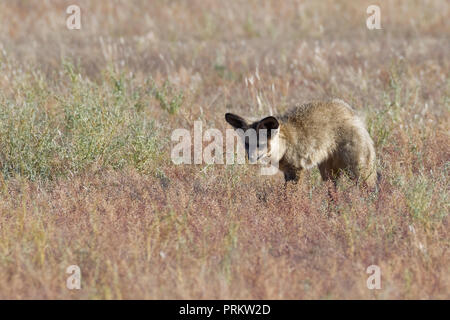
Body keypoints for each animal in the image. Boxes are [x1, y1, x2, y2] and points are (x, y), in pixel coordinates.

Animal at [227, 99, 378, 189]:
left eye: (261, 144)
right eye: (247, 144)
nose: (251, 158)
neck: (284, 147)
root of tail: (352, 113)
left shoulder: (296, 170)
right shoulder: (288, 173)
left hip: (359, 172)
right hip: (328, 175)